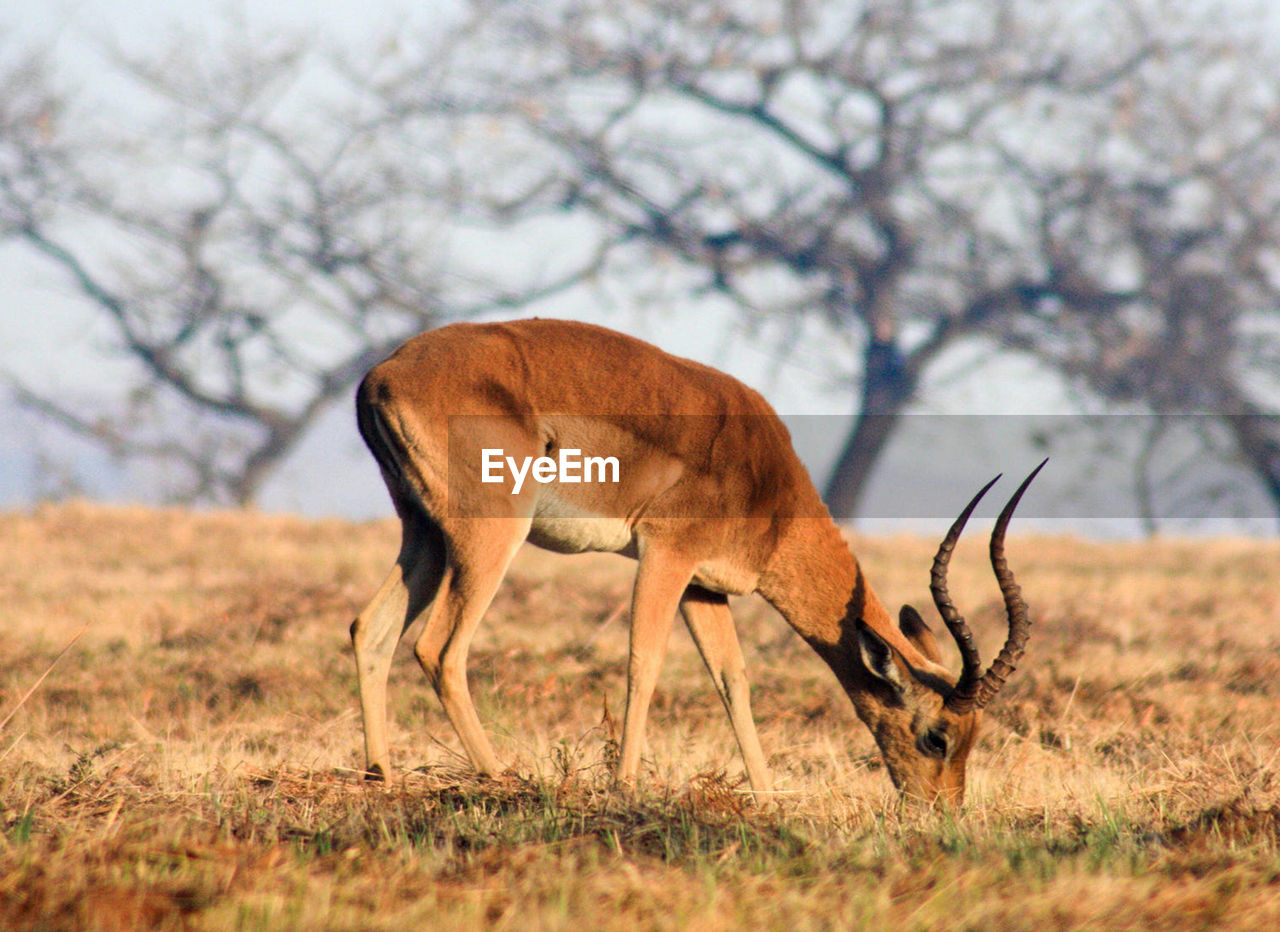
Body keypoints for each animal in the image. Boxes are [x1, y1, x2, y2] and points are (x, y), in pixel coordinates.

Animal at [348, 316, 1039, 803]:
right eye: (937, 735)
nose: (939, 810)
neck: (766, 482)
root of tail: (382, 375)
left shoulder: (707, 587)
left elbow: (732, 679)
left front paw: (767, 797)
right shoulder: (666, 556)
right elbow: (643, 661)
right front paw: (625, 788)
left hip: (424, 535)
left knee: (371, 630)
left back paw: (382, 774)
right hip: (489, 538)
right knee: (439, 647)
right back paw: (501, 779)